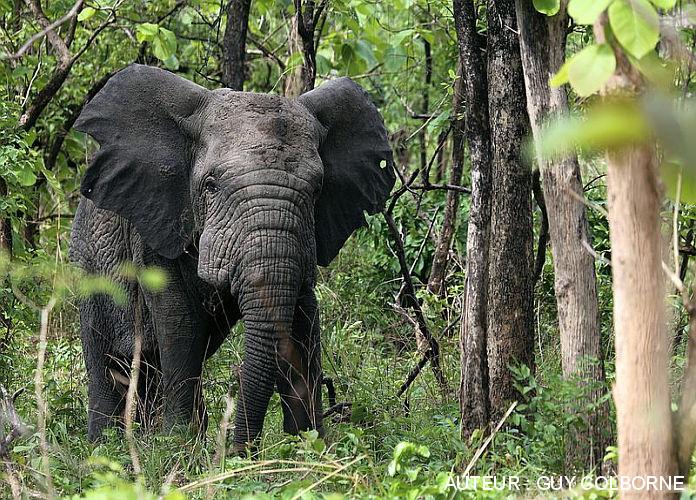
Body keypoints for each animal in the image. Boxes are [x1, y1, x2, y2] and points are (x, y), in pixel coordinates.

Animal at [69, 64, 396, 452]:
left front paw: (310, 445)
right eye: (210, 185)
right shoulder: (156, 222)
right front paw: (178, 445)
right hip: (89, 265)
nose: (238, 451)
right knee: (106, 357)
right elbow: (179, 322)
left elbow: (303, 318)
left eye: (317, 190)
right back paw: (105, 448)